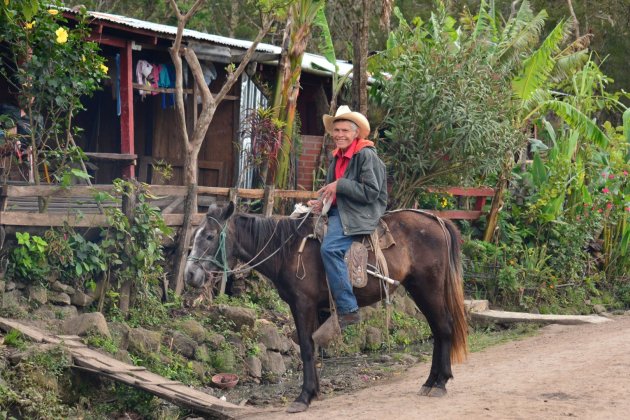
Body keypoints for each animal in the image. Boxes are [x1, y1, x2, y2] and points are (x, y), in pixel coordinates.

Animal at [185, 202, 466, 412]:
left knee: (443, 327)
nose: (189, 274)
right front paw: (314, 392)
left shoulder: (303, 304)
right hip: (419, 289)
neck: (287, 249)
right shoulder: (311, 308)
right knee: (438, 329)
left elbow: (307, 347)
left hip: (427, 287)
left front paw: (303, 397)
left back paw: (440, 383)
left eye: (209, 236)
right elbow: (312, 346)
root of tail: (436, 220)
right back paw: (432, 381)